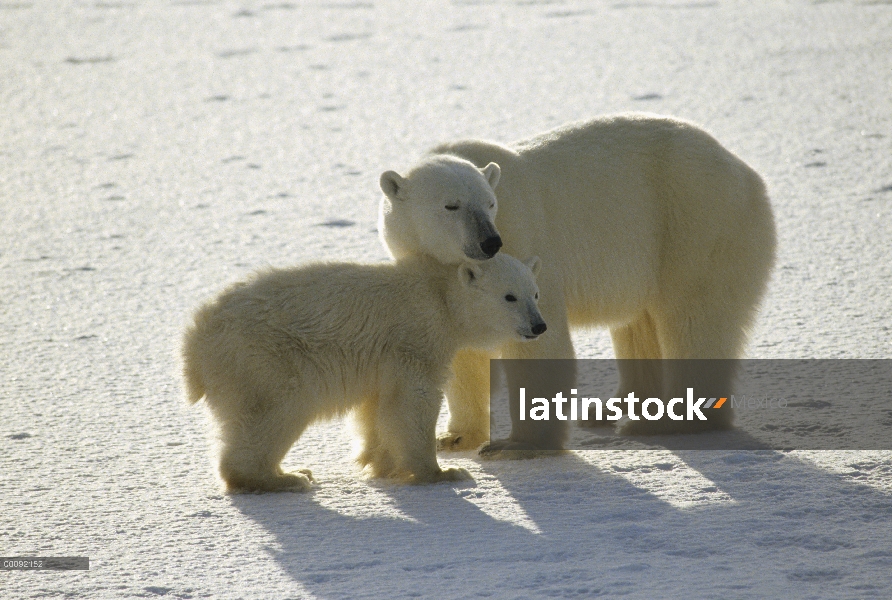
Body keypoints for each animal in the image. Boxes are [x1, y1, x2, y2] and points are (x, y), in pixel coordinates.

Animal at [181, 251, 544, 490]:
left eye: (536, 293)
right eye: (509, 296)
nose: (538, 325)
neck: (439, 295)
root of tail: (194, 340)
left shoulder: (384, 359)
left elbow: (377, 407)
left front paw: (382, 464)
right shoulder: (416, 339)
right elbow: (413, 401)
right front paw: (443, 472)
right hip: (262, 357)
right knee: (277, 409)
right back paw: (285, 477)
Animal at [378, 112, 772, 452]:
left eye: (489, 203)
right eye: (451, 205)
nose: (490, 242)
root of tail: (746, 171)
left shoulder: (524, 237)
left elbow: (537, 345)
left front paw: (519, 444)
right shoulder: (444, 276)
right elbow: (464, 351)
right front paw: (456, 437)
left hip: (695, 222)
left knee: (693, 318)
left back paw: (668, 422)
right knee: (639, 326)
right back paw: (614, 409)